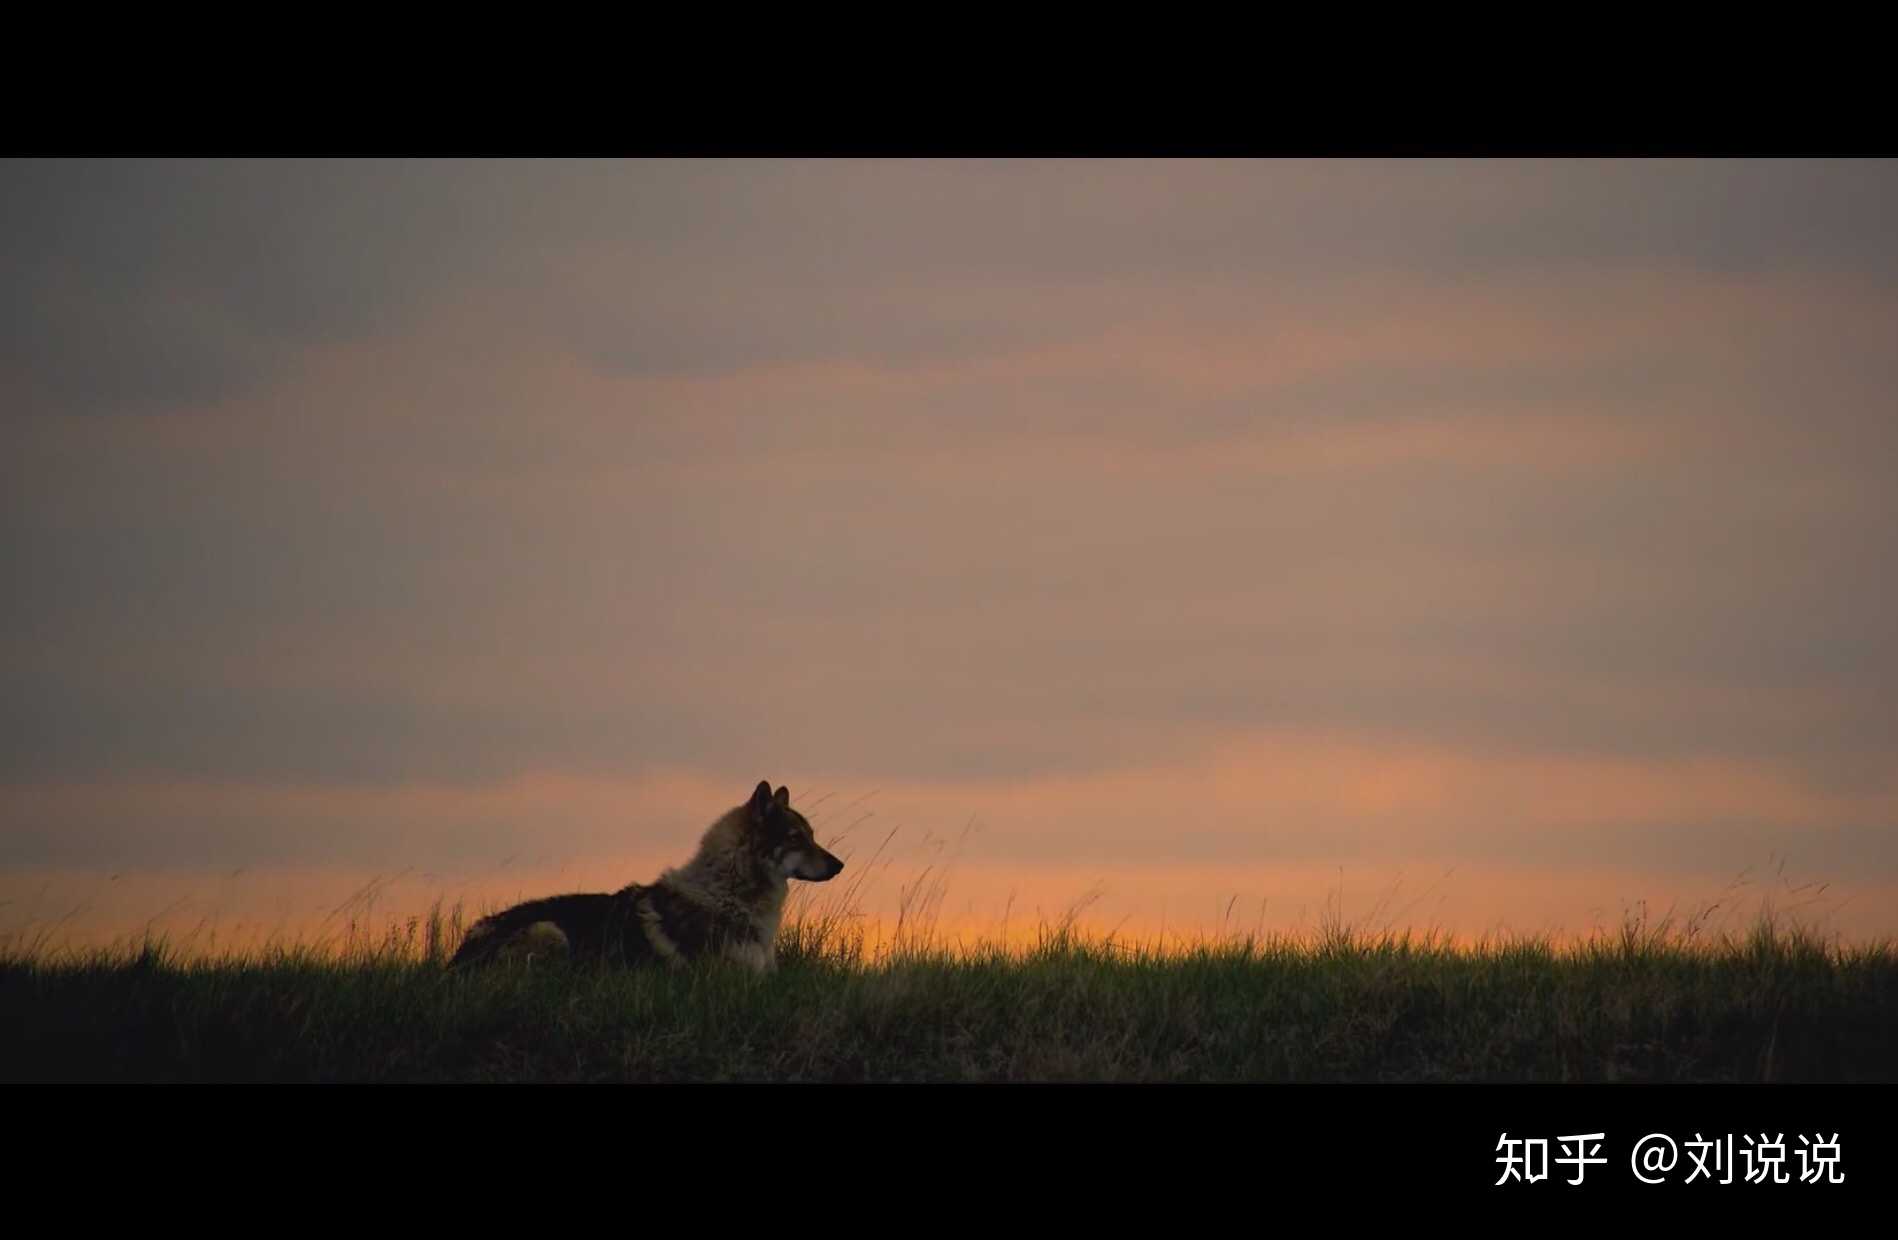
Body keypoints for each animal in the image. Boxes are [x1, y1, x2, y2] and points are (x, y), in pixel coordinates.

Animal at [447, 778, 842, 972]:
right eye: (796, 837)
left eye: (812, 835)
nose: (839, 865)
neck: (728, 894)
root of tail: (456, 957)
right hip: (551, 932)